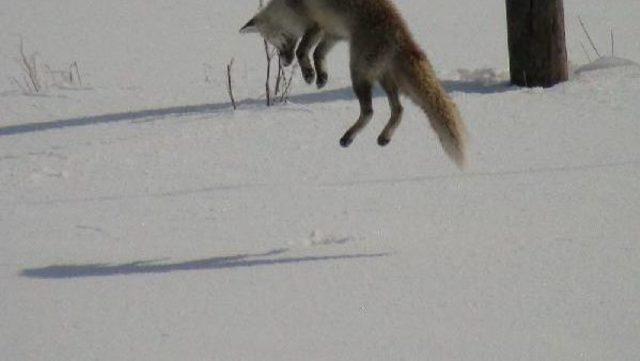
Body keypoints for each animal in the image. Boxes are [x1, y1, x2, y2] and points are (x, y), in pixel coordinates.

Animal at [242, 0, 468, 167]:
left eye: (273, 41)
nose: (284, 63)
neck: (289, 7)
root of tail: (401, 35)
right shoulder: (332, 32)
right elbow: (318, 53)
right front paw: (321, 76)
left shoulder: (316, 24)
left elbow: (303, 50)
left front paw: (308, 74)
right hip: (383, 78)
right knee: (398, 109)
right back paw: (384, 137)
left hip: (358, 73)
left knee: (369, 112)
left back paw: (348, 137)